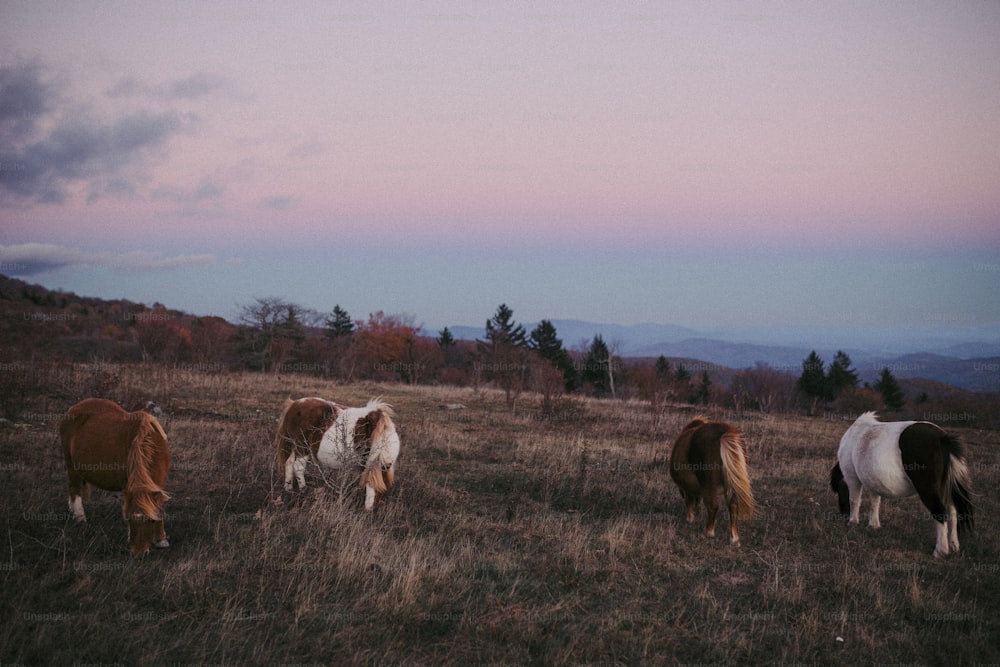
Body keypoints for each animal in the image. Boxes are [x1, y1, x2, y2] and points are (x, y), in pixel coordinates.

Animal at [60, 400, 172, 556]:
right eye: (128, 519)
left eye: (150, 520)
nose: (139, 553)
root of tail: (74, 408)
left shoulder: (159, 484)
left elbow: (158, 507)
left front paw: (161, 540)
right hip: (71, 465)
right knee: (74, 489)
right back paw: (80, 517)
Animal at [828, 412, 976, 560]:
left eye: (838, 490)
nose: (843, 513)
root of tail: (942, 438)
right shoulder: (872, 482)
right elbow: (874, 503)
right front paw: (873, 525)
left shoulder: (852, 477)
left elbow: (854, 500)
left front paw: (853, 522)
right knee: (953, 512)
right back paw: (954, 545)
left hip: (929, 490)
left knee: (940, 511)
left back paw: (940, 550)